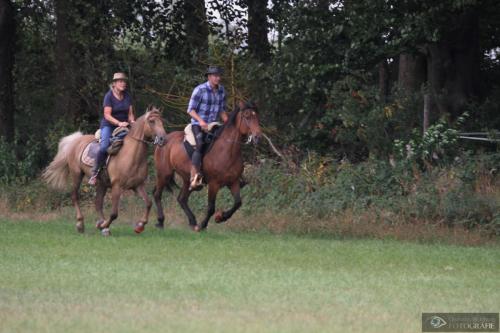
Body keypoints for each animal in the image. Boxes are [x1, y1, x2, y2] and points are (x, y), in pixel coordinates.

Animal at [152, 101, 262, 231]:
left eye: (257, 116)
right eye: (247, 116)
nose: (258, 136)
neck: (227, 150)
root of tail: (163, 140)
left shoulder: (233, 182)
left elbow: (237, 203)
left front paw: (220, 217)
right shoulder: (214, 184)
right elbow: (211, 208)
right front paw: (203, 225)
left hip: (187, 179)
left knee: (182, 199)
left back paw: (192, 222)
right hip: (163, 174)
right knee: (157, 195)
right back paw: (161, 221)